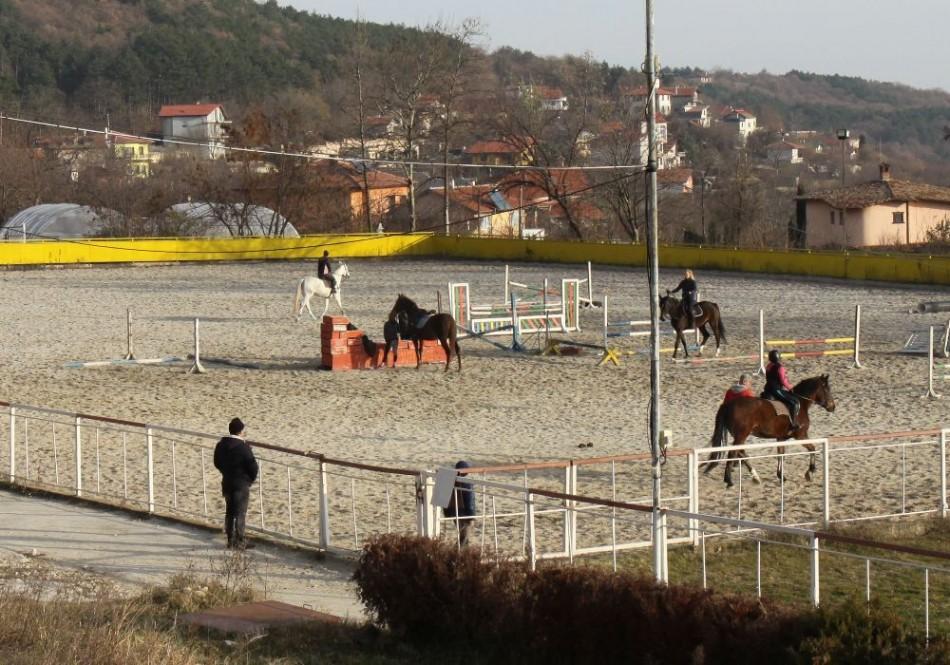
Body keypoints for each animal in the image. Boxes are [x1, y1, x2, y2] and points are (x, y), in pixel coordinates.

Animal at [708, 374, 840, 488]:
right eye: (827, 389)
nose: (832, 407)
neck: (801, 403)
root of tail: (728, 405)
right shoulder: (801, 435)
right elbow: (812, 449)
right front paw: (810, 472)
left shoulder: (781, 438)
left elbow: (781, 454)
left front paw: (781, 476)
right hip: (741, 435)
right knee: (733, 452)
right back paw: (729, 480)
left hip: (740, 436)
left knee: (741, 452)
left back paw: (755, 476)